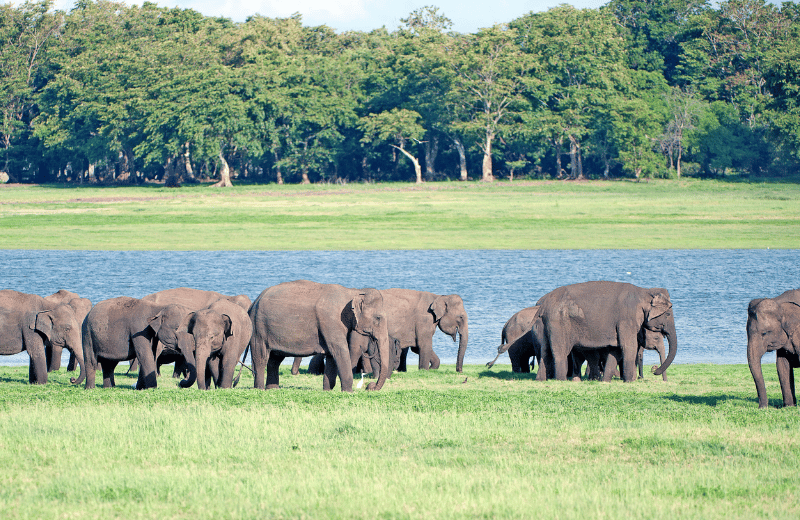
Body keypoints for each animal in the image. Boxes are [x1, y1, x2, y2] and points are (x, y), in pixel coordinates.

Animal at [248, 280, 392, 392]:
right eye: (378, 318)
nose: (370, 386)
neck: (352, 292)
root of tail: (254, 301)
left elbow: (332, 355)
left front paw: (327, 390)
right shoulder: (331, 321)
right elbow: (340, 350)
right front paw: (349, 392)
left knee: (275, 359)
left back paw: (273, 388)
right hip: (258, 328)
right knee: (261, 357)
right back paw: (259, 389)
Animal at [535, 281, 677, 382]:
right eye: (668, 314)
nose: (654, 370)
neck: (644, 291)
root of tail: (543, 305)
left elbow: (616, 349)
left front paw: (606, 381)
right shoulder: (627, 319)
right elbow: (628, 347)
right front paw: (630, 382)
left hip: (547, 325)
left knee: (545, 352)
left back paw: (541, 380)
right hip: (559, 322)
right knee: (560, 352)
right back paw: (562, 380)